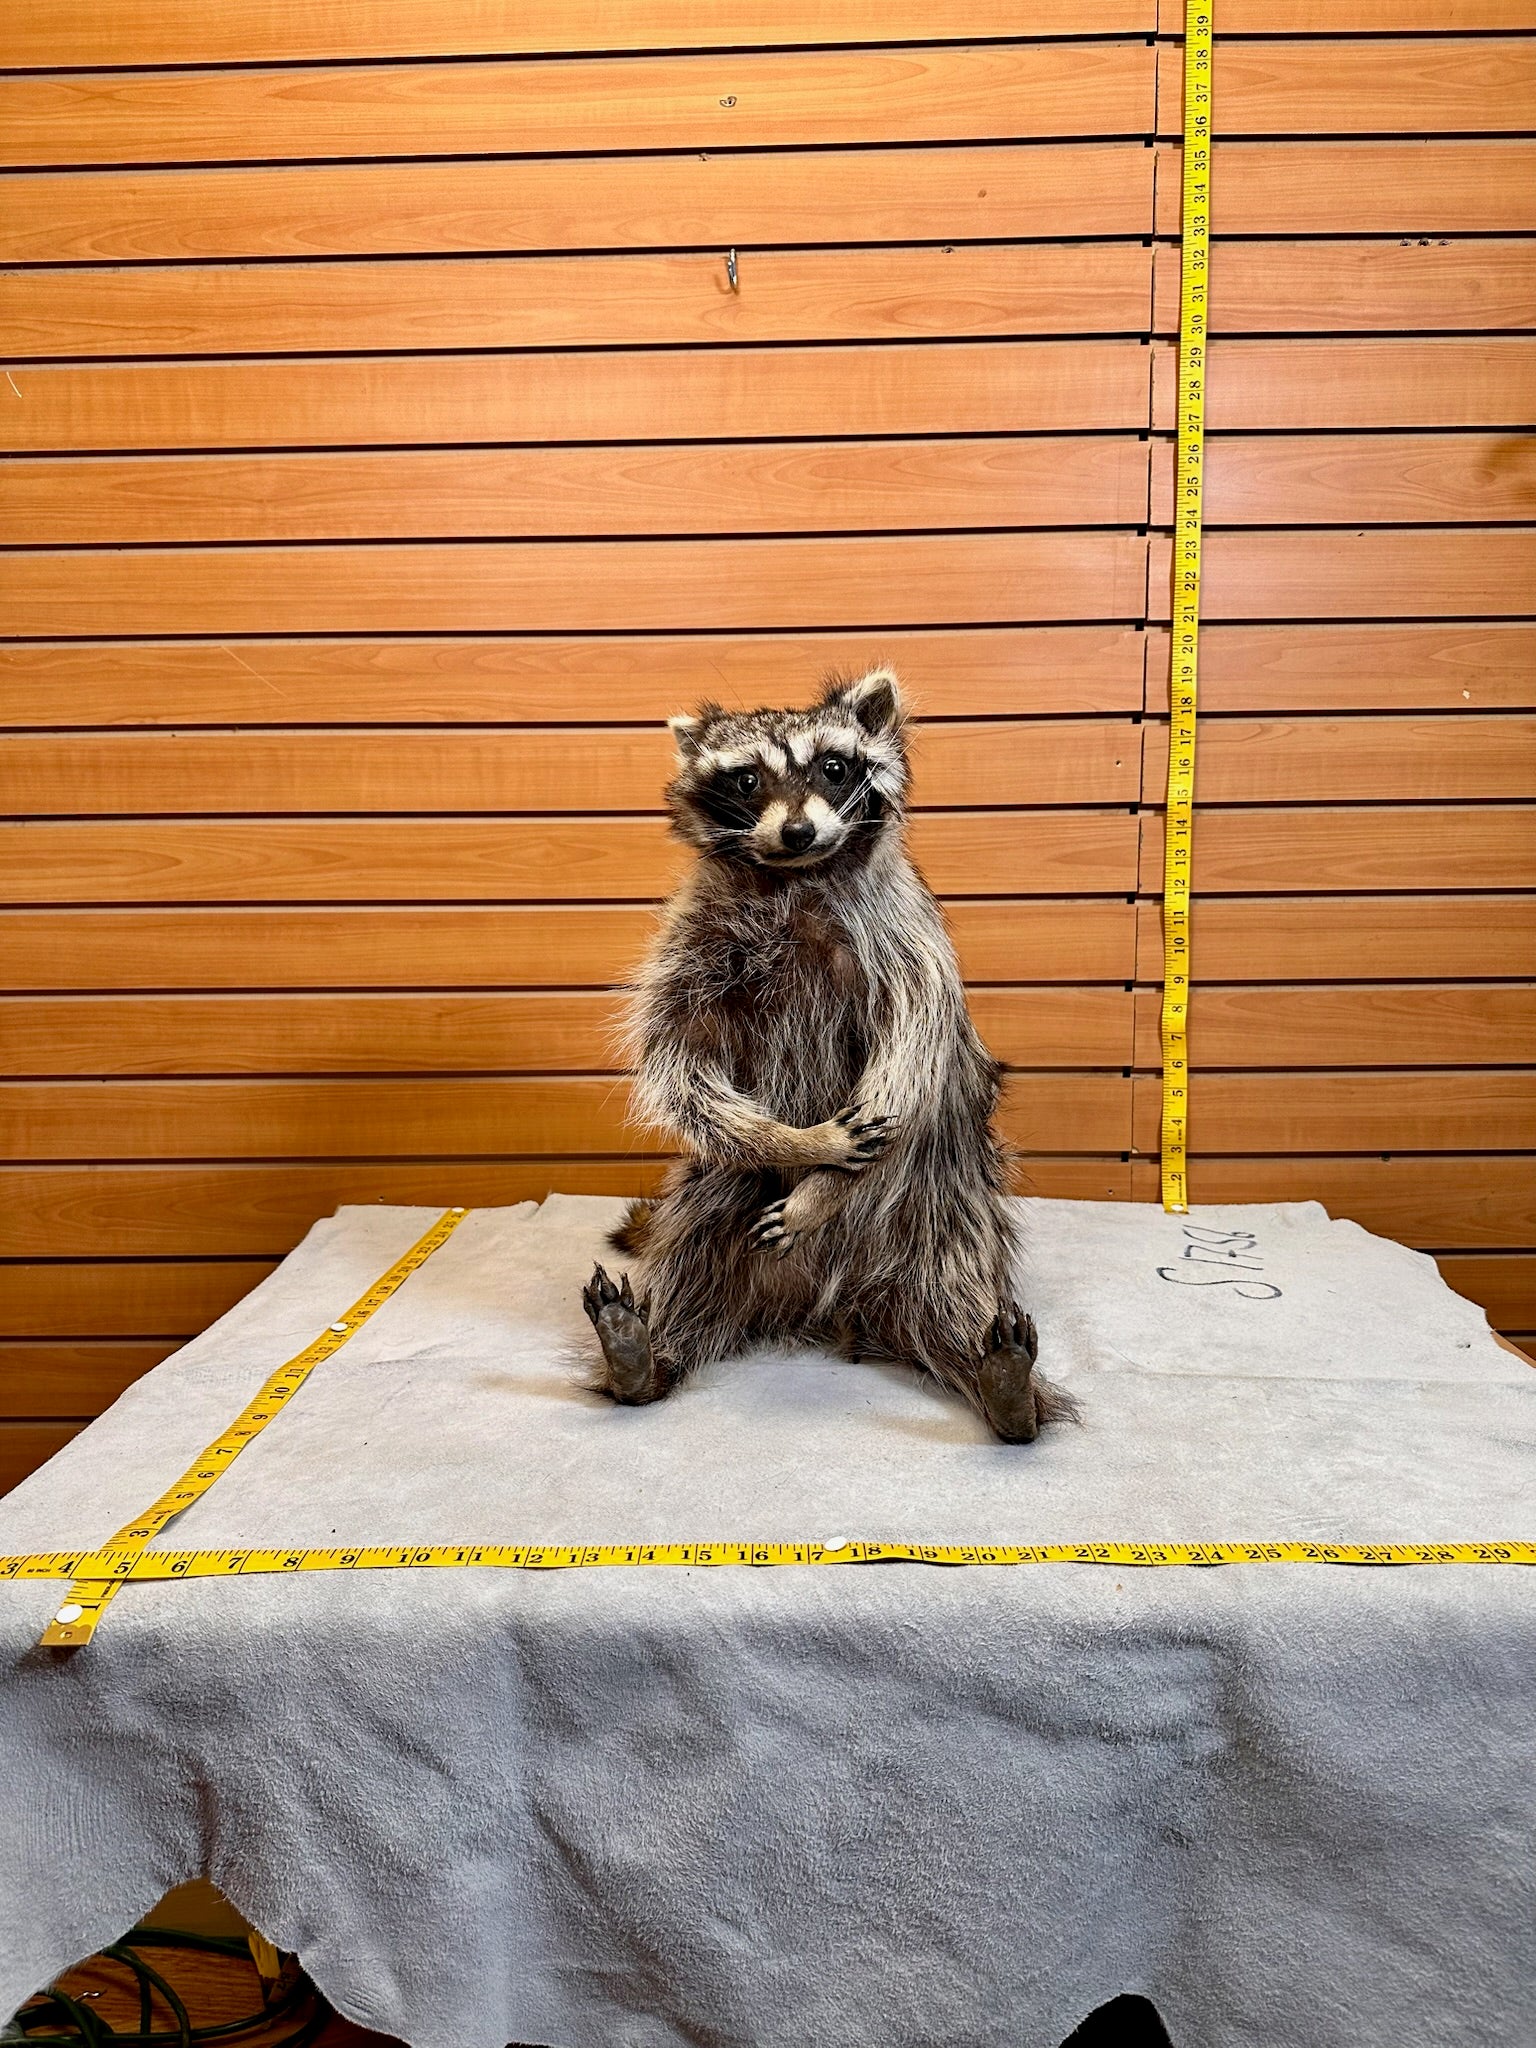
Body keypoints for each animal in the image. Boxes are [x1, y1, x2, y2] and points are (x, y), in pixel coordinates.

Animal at [580, 665, 1073, 1442]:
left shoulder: (905, 936)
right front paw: (794, 1140)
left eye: (834, 768)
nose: (798, 829)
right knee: (689, 1245)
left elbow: (913, 1044)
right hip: (713, 1198)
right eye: (747, 779)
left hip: (944, 1215)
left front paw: (821, 1187)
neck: (795, 878)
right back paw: (644, 1355)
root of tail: (830, 1309)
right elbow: (681, 1068)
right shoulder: (692, 941)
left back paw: (1002, 1385)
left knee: (959, 1284)